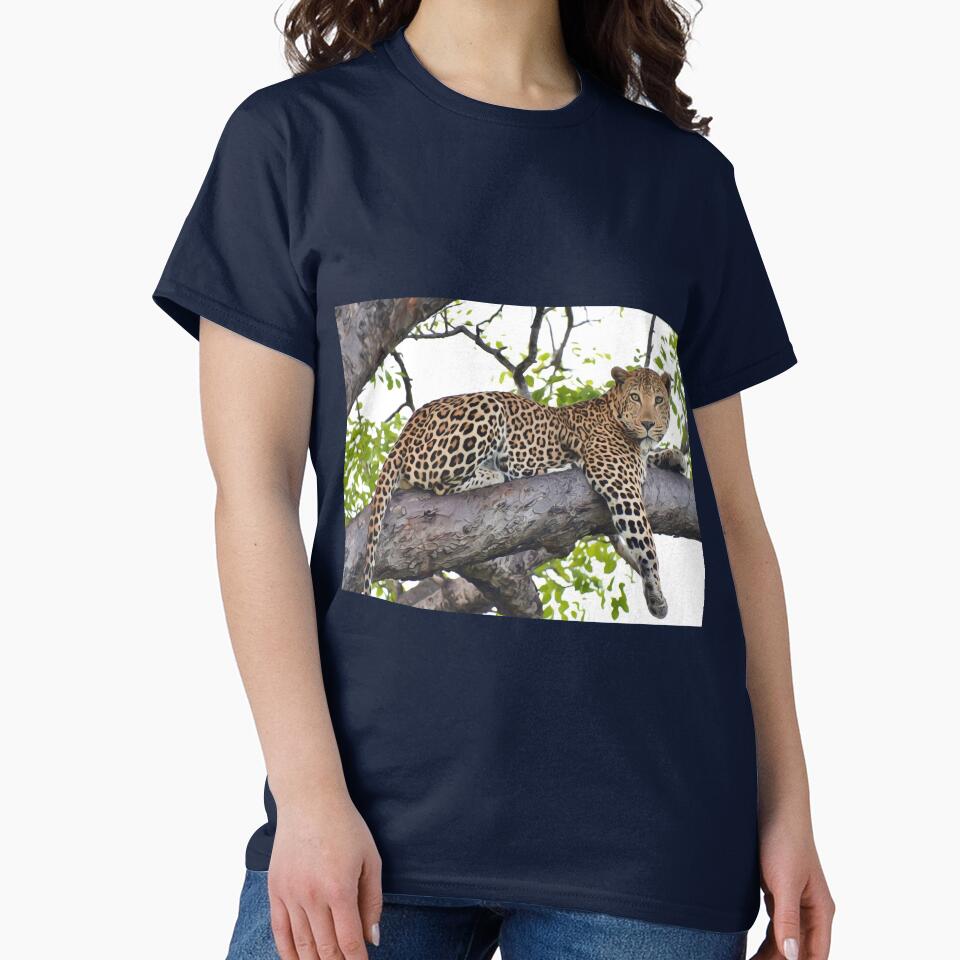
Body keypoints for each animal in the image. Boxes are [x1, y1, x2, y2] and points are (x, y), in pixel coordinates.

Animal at [361, 365, 688, 619]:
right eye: (635, 397)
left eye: (659, 400)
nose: (648, 424)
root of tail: (407, 427)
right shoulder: (618, 480)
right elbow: (646, 542)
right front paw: (657, 596)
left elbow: (652, 459)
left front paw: (673, 457)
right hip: (486, 409)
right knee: (433, 478)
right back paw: (498, 473)